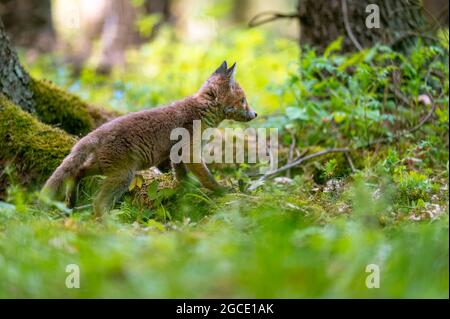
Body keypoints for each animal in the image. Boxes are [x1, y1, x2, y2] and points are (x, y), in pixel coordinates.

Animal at [44, 62, 258, 218]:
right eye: (243, 100)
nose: (255, 114)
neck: (201, 111)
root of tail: (97, 132)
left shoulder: (176, 153)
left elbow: (181, 175)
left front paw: (186, 187)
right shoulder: (190, 152)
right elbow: (207, 178)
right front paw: (222, 191)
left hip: (106, 168)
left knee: (76, 172)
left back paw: (71, 203)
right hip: (122, 175)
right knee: (98, 202)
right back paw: (107, 225)